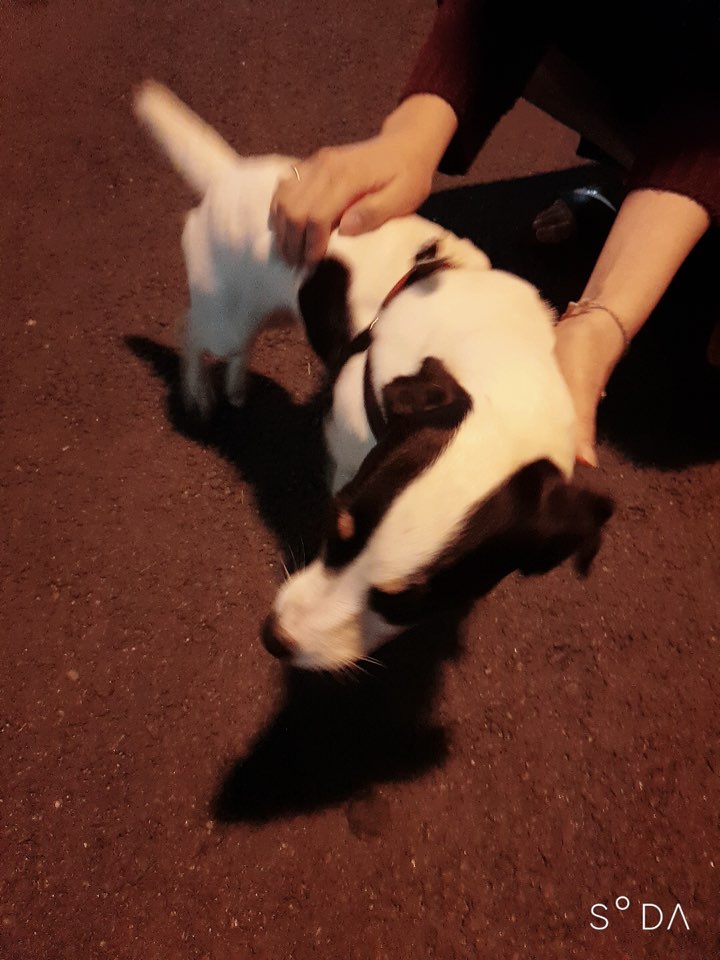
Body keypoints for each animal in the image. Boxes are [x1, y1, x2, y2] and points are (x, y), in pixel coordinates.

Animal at [134, 81, 613, 671]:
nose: (273, 640)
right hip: (223, 312)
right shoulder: (348, 441)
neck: (502, 372)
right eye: (335, 524)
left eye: (403, 604)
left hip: (274, 309)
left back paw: (236, 384)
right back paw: (198, 391)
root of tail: (229, 174)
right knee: (194, 334)